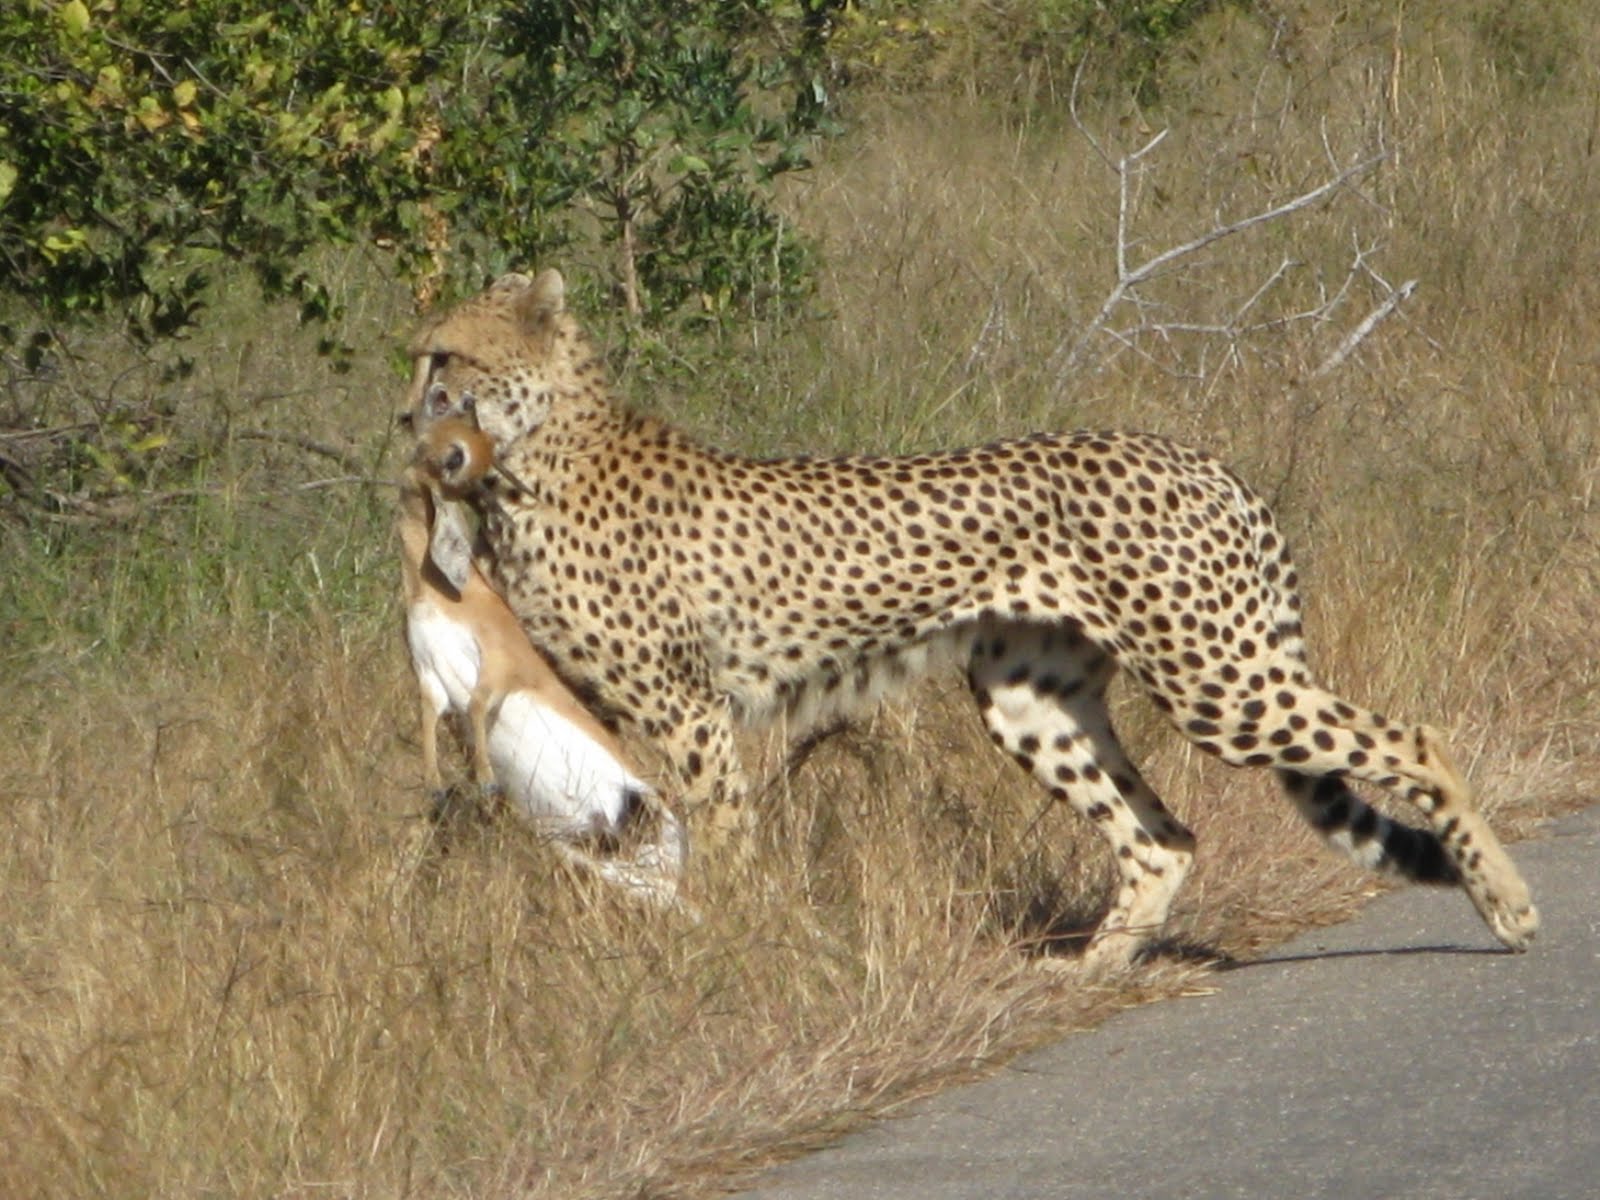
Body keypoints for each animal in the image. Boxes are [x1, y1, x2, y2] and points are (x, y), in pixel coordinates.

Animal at [400, 270, 1536, 966]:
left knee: (1414, 738)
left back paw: (1507, 904)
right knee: (1162, 835)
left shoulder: (689, 711)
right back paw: (1091, 971)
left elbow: (716, 837)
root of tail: (1203, 459)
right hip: (1030, 701)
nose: (407, 417)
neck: (537, 461)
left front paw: (729, 940)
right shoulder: (593, 705)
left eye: (442, 357)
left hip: (1216, 678)